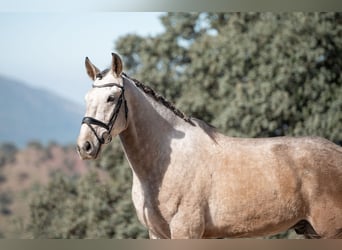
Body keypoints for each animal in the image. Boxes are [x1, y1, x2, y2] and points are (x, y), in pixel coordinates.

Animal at [77, 52, 342, 238]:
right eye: (87, 99)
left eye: (111, 98)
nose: (85, 146)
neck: (164, 164)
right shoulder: (157, 234)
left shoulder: (186, 232)